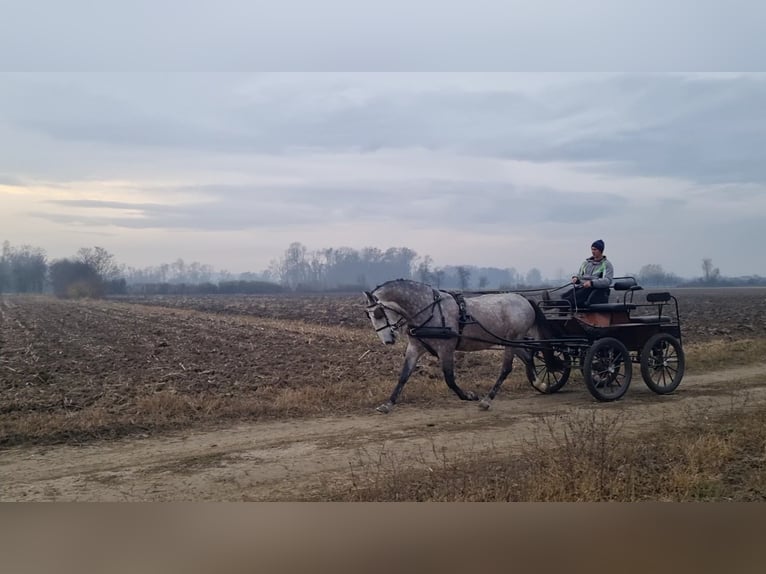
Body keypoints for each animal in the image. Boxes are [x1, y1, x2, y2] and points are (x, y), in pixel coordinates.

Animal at [364, 280, 552, 414]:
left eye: (378, 313)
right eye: (369, 316)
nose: (388, 341)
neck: (429, 309)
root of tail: (524, 299)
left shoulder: (446, 348)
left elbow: (449, 378)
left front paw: (469, 396)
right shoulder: (414, 348)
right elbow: (404, 376)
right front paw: (388, 404)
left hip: (511, 342)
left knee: (506, 369)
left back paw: (487, 400)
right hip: (513, 341)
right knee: (528, 357)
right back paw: (540, 384)